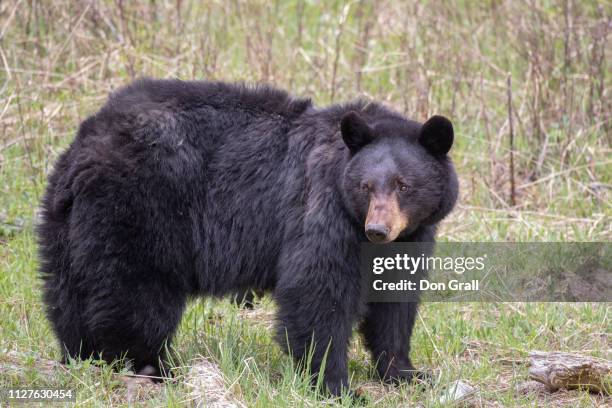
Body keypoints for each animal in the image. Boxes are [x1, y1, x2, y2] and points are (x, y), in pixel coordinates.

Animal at [38, 78, 456, 396]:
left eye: (403, 184)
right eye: (365, 186)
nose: (378, 230)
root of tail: (86, 147)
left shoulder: (412, 236)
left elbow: (395, 303)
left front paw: (407, 373)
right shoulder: (322, 211)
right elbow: (318, 293)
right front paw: (337, 387)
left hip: (67, 223)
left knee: (70, 292)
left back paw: (81, 355)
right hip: (139, 208)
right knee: (136, 292)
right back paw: (154, 367)